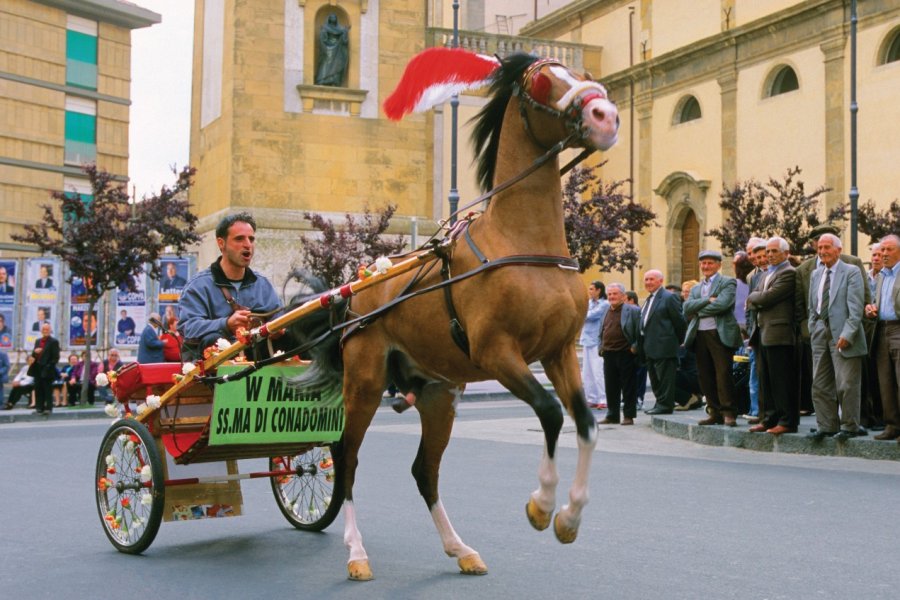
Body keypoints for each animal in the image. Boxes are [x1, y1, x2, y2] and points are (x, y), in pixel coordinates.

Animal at [292, 50, 616, 580]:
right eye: (543, 82)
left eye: (586, 77)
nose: (604, 116)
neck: (522, 244)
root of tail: (357, 288)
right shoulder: (497, 353)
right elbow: (549, 413)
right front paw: (542, 506)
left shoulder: (558, 352)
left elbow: (585, 422)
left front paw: (569, 517)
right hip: (365, 381)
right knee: (347, 456)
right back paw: (357, 553)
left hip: (438, 394)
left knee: (424, 471)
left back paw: (459, 548)